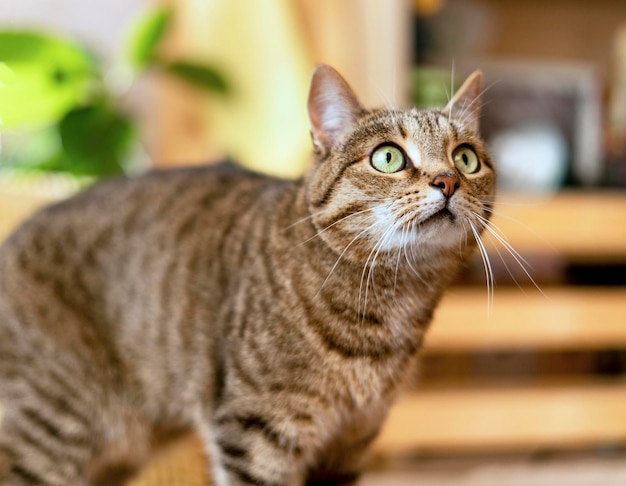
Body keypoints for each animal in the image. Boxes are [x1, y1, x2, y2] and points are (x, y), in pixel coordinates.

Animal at [0, 65, 492, 486]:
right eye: (388, 157)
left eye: (466, 159)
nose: (448, 181)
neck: (392, 301)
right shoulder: (259, 431)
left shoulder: (352, 440)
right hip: (52, 428)